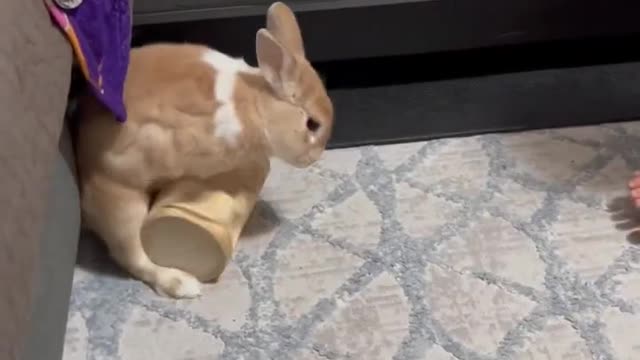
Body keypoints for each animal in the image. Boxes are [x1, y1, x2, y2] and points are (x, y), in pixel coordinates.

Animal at [75, 1, 336, 296]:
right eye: (312, 124)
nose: (313, 158)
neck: (256, 104)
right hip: (122, 200)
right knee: (132, 255)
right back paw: (182, 284)